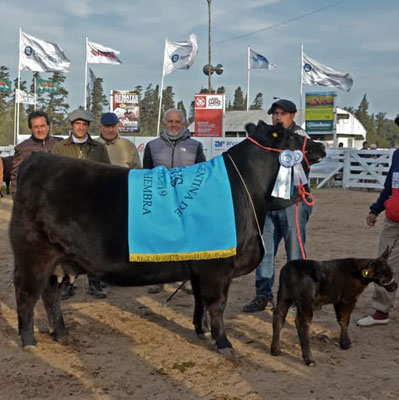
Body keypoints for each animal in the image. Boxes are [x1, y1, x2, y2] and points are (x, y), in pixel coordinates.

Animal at [10, 122, 326, 354]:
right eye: (292, 136)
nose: (322, 145)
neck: (244, 189)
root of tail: (36, 160)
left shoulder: (202, 263)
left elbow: (201, 300)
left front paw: (202, 331)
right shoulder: (218, 265)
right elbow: (218, 304)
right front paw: (224, 343)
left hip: (59, 261)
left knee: (50, 295)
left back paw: (61, 333)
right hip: (33, 256)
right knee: (27, 295)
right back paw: (29, 341)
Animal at [270, 248, 398, 368]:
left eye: (391, 272)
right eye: (381, 276)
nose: (395, 286)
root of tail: (291, 268)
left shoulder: (338, 300)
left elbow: (340, 319)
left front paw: (344, 342)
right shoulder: (348, 299)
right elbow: (345, 320)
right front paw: (345, 344)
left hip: (284, 296)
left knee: (279, 316)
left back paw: (275, 350)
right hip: (306, 301)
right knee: (303, 324)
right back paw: (309, 360)